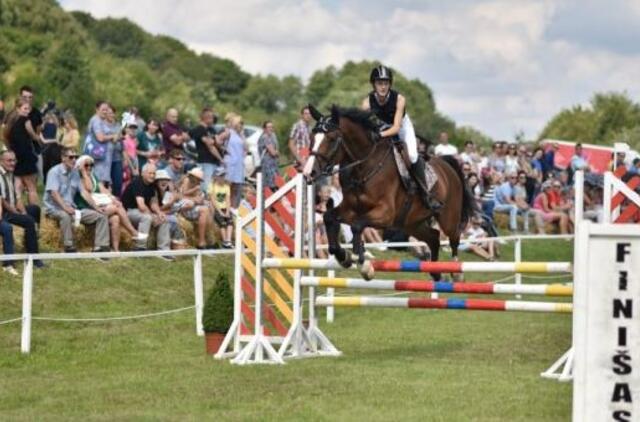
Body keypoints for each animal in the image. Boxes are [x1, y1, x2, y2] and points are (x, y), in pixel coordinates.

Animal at [304, 103, 476, 280]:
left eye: (331, 139)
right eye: (312, 138)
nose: (309, 173)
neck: (364, 168)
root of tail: (447, 164)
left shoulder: (385, 214)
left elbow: (357, 226)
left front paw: (364, 265)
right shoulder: (350, 209)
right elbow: (328, 217)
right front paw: (343, 257)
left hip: (448, 217)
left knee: (454, 237)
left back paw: (456, 273)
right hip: (410, 223)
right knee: (434, 237)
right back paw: (435, 273)